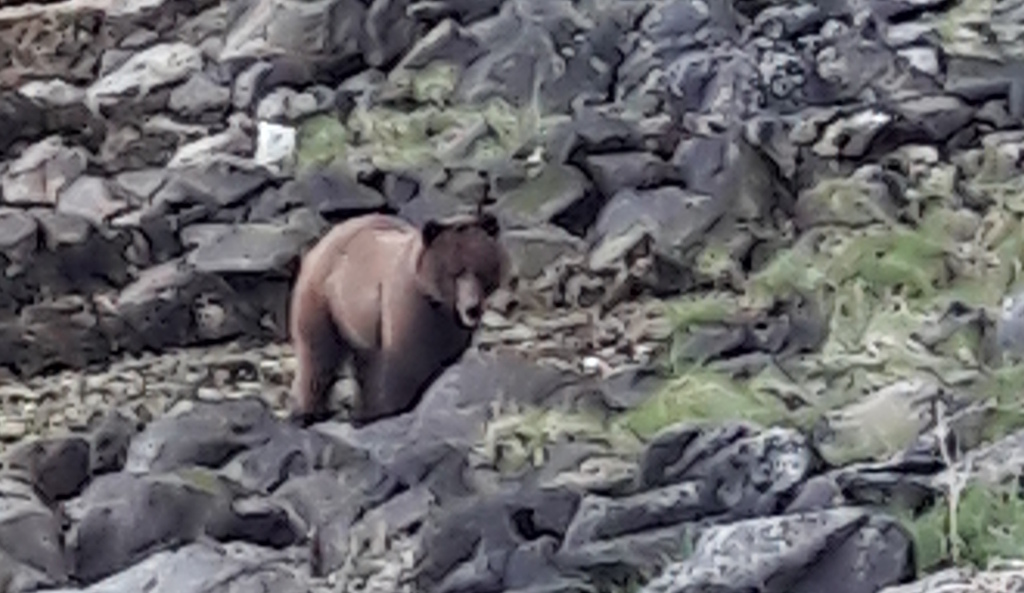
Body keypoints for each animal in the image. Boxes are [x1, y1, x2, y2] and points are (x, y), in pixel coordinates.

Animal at [287, 211, 510, 427]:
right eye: (454, 273)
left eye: (481, 272)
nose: (473, 309)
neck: (439, 306)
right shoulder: (408, 308)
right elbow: (401, 364)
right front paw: (380, 413)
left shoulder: (451, 329)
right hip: (323, 296)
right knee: (316, 352)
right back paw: (305, 413)